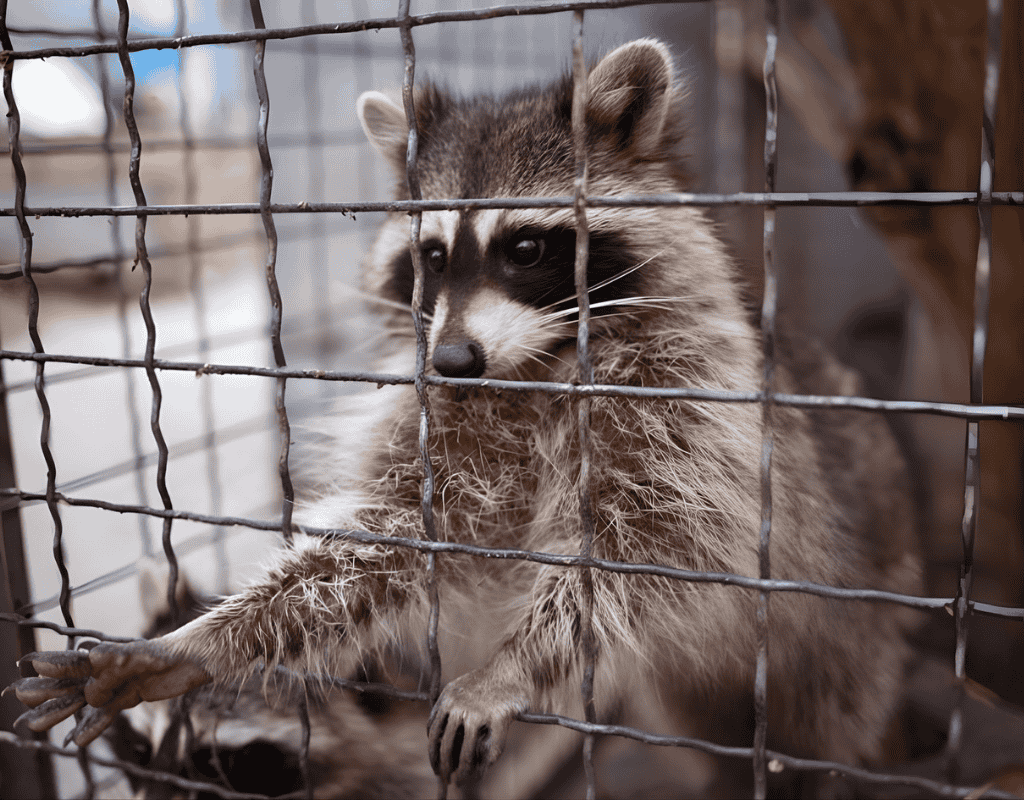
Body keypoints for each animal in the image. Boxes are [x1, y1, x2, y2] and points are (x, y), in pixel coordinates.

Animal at [11, 39, 921, 795]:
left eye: (524, 248)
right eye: (434, 256)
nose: (452, 359)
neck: (532, 367)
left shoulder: (684, 406)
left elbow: (652, 544)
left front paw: (515, 665)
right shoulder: (440, 420)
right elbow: (381, 544)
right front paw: (200, 644)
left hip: (848, 627)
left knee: (822, 726)